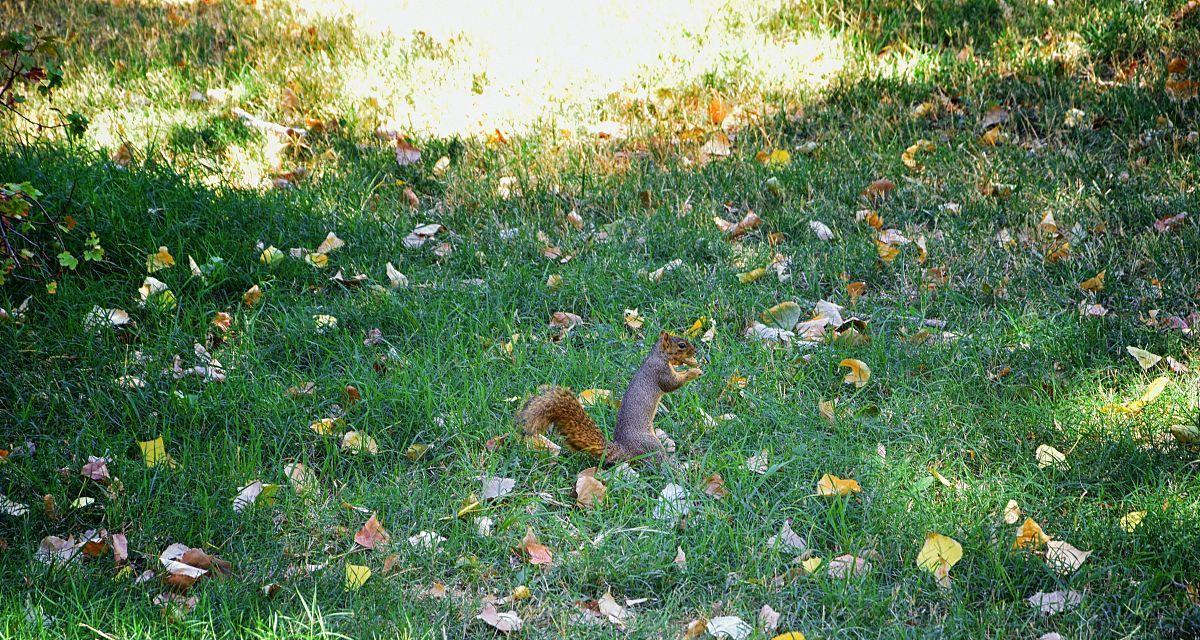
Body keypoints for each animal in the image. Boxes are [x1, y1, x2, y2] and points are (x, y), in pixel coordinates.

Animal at [518, 329, 700, 463]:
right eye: (682, 345)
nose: (695, 350)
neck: (658, 355)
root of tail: (625, 450)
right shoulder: (659, 371)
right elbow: (671, 384)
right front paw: (693, 371)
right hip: (650, 444)